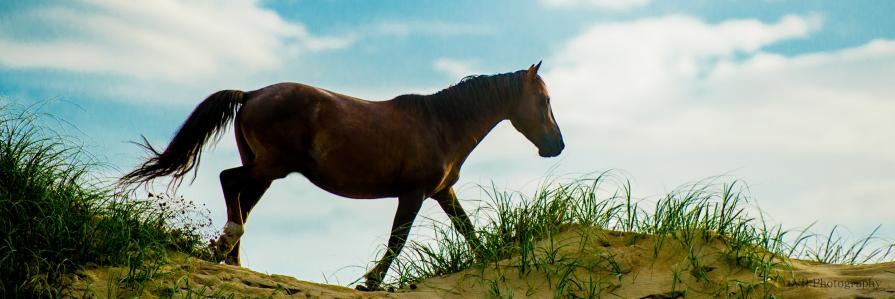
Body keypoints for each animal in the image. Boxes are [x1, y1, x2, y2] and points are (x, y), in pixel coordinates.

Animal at [119, 62, 564, 292]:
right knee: (231, 182)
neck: (440, 125)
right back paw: (226, 248)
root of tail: (252, 94)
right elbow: (397, 240)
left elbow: (468, 230)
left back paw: (234, 260)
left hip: (266, 170)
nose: (556, 146)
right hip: (271, 166)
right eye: (544, 100)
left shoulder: (442, 193)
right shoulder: (413, 194)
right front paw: (371, 281)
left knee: (242, 198)